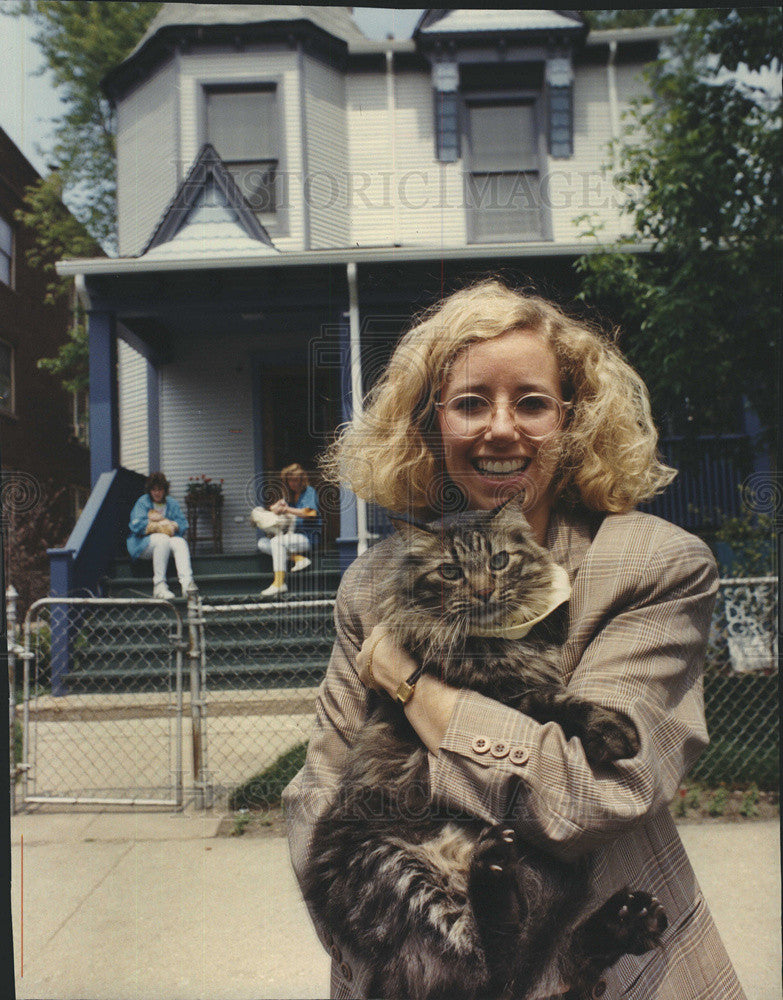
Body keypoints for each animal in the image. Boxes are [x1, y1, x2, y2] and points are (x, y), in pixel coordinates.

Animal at [304, 496, 664, 996]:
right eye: (450, 572)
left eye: (498, 561)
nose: (484, 592)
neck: (495, 643)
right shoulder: (505, 694)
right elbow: (554, 702)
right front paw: (612, 728)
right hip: (393, 865)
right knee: (486, 972)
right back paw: (498, 879)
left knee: (546, 969)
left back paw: (628, 920)